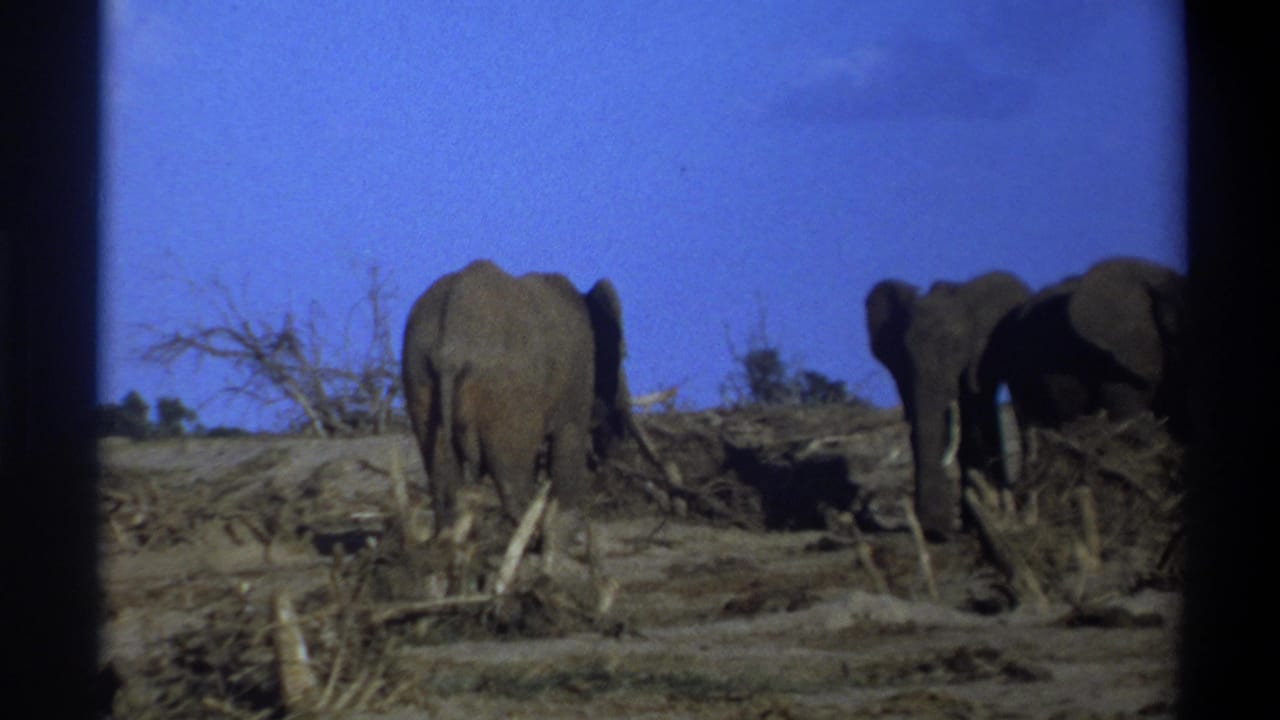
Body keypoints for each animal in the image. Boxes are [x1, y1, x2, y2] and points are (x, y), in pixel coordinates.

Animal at [401, 259, 631, 544]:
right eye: (623, 355)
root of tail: (452, 345)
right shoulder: (577, 381)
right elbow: (569, 443)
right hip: (509, 395)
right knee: (512, 478)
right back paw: (530, 539)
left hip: (418, 370)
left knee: (443, 475)